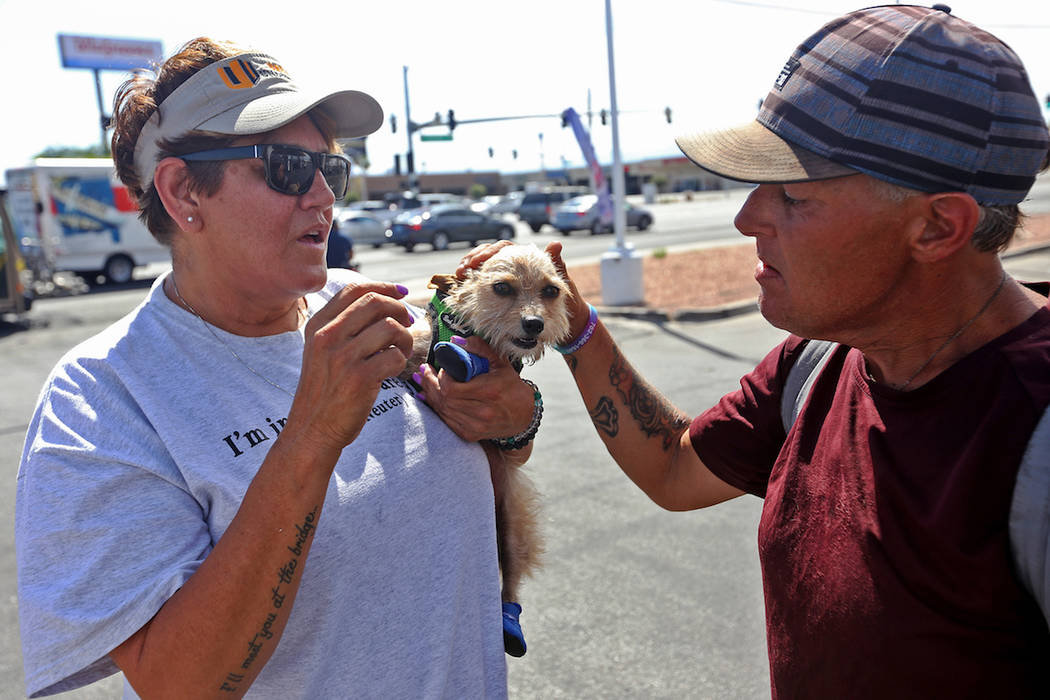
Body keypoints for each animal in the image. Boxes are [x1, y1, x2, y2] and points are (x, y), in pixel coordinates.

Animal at [401, 245, 571, 659]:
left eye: (551, 291)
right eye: (502, 287)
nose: (534, 324)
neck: (475, 335)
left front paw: (459, 360)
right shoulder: (423, 338)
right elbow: (411, 343)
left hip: (514, 525)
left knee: (510, 582)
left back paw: (510, 625)